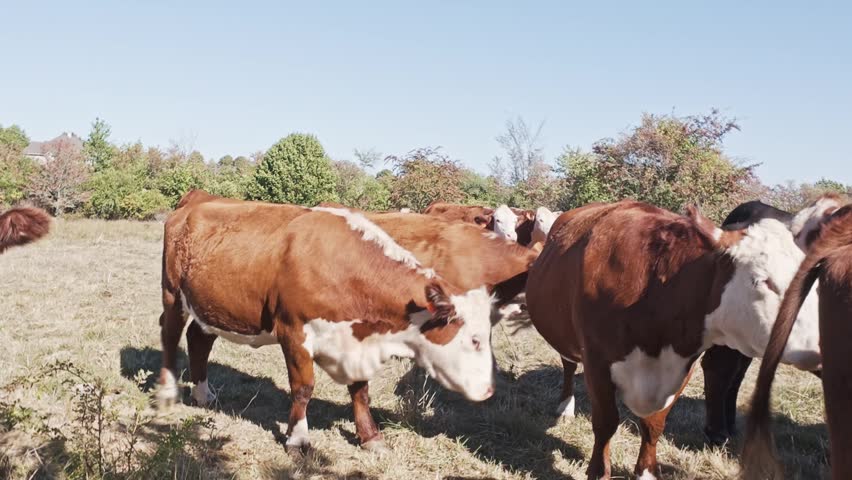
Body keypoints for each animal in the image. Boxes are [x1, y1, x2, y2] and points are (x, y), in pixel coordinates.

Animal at [526, 200, 825, 480]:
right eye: (763, 280)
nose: (819, 347)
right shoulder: (596, 360)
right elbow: (606, 423)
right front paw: (599, 473)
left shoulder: (681, 366)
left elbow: (654, 425)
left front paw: (646, 473)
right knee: (568, 365)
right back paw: (565, 407)